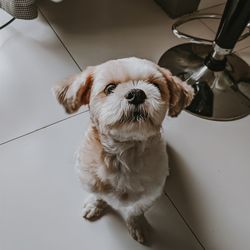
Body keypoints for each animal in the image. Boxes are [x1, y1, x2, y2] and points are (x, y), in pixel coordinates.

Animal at [53, 57, 194, 244]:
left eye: (155, 86)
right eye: (110, 88)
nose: (137, 94)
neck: (124, 153)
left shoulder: (150, 195)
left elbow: (136, 210)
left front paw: (137, 224)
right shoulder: (90, 180)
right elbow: (98, 195)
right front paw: (95, 205)